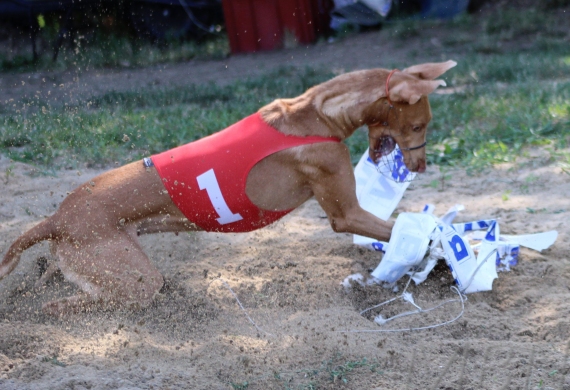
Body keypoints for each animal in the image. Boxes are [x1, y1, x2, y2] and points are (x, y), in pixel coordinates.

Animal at [0, 61, 452, 316]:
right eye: (419, 125)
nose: (422, 165)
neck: (316, 114)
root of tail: (57, 218)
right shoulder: (347, 214)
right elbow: (413, 231)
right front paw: (446, 254)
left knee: (59, 281)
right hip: (135, 278)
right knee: (75, 303)